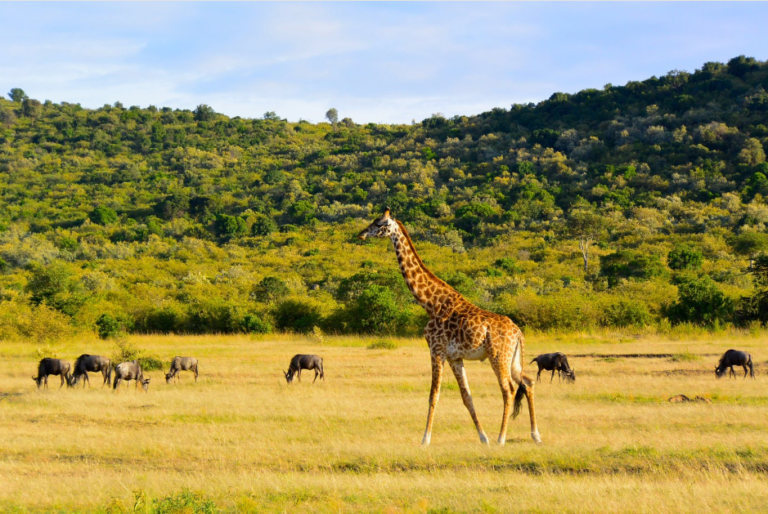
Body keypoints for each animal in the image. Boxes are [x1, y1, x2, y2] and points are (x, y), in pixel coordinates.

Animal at [358, 208, 542, 446]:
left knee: (508, 389)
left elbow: (433, 394)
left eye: (379, 223)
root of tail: (518, 332)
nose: (361, 234)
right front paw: (483, 437)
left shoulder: (436, 350)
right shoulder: (455, 357)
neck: (430, 303)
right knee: (527, 382)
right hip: (514, 358)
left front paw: (425, 439)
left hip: (498, 355)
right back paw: (535, 435)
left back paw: (501, 437)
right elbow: (466, 396)